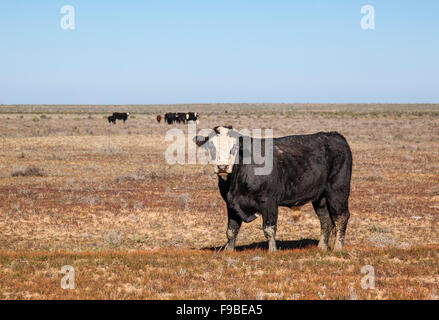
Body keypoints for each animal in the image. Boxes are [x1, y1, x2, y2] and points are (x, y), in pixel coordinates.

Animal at [194, 126, 352, 251]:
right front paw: (229, 250)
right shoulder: (231, 204)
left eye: (234, 148)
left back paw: (338, 248)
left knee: (341, 217)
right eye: (211, 147)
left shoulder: (268, 202)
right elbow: (231, 230)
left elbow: (269, 229)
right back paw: (321, 248)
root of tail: (335, 135)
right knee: (325, 220)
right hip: (320, 197)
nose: (222, 167)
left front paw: (272, 251)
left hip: (338, 191)